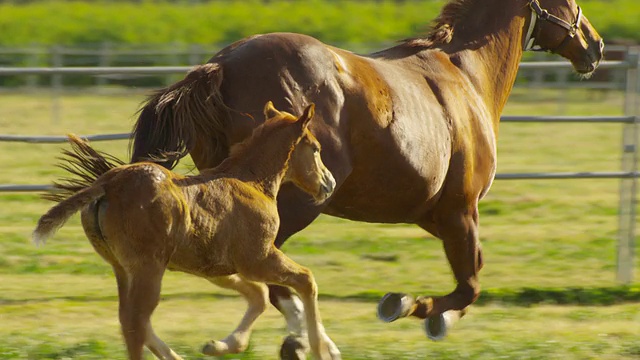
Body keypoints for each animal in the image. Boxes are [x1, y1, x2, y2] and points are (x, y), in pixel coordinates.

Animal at [32, 102, 340, 360]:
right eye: (315, 148)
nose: (329, 183)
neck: (252, 182)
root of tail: (108, 182)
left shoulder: (215, 267)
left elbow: (259, 295)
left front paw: (219, 345)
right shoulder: (258, 258)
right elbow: (306, 280)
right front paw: (322, 351)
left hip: (121, 268)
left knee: (132, 320)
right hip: (148, 267)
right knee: (135, 322)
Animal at [131, 0, 604, 354]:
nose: (595, 46)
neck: (466, 75)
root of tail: (219, 67)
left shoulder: (434, 214)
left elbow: (472, 275)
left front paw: (437, 317)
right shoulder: (460, 210)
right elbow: (469, 283)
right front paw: (407, 305)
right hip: (291, 205)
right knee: (270, 273)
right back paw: (295, 341)